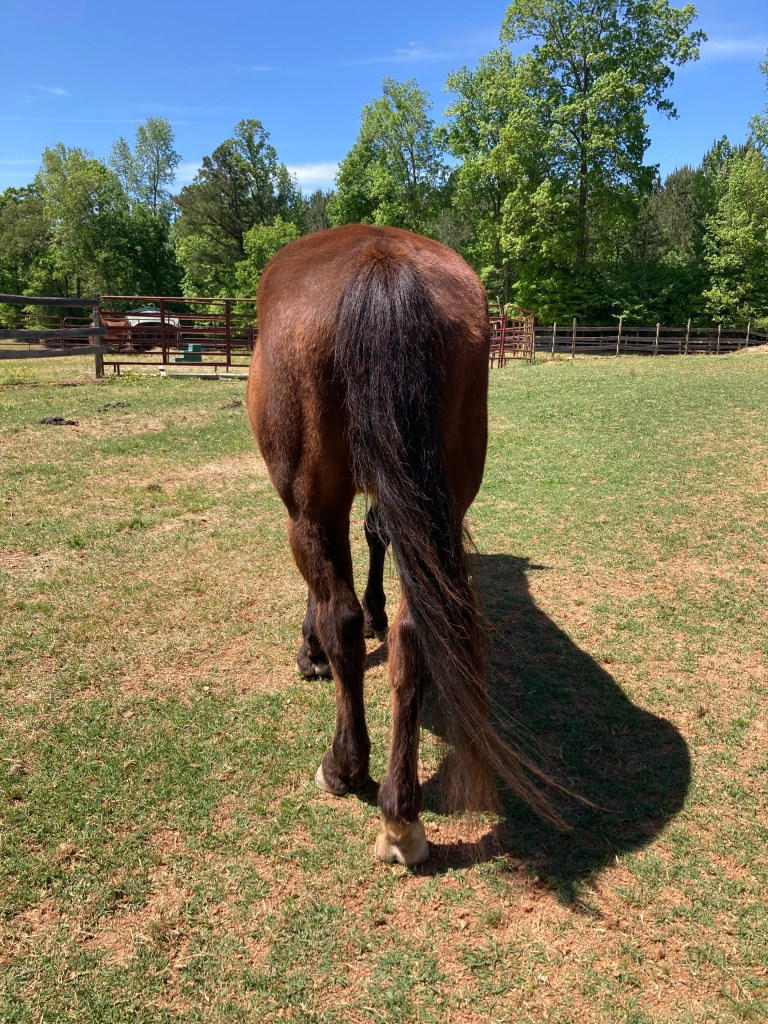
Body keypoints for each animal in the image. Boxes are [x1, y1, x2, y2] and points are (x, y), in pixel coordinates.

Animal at [247, 224, 556, 865]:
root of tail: (381, 261)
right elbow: (376, 536)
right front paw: (375, 614)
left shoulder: (309, 508)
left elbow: (329, 594)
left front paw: (311, 651)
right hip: (441, 498)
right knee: (414, 635)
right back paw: (402, 814)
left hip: (311, 505)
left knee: (338, 613)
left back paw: (345, 767)